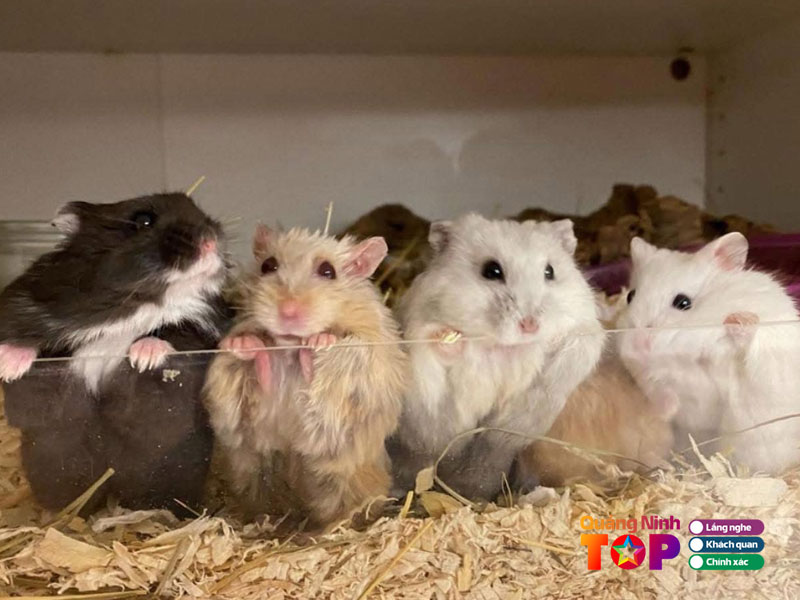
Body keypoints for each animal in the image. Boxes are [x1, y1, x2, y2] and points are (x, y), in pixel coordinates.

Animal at [0, 193, 229, 514]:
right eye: (143, 220)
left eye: (198, 210)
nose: (211, 241)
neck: (134, 302)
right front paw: (8, 365)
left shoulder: (204, 332)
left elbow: (175, 332)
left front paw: (143, 358)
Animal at [204, 225, 408, 526]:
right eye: (268, 266)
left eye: (328, 271)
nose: (287, 312)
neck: (289, 348)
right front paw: (243, 344)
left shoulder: (365, 360)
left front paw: (321, 341)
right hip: (255, 469)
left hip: (347, 478)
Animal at [388, 213, 605, 500]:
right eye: (491, 271)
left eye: (550, 272)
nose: (530, 325)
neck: (505, 348)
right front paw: (451, 337)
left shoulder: (585, 330)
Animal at [617, 233, 800, 474]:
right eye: (630, 296)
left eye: (683, 302)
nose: (636, 345)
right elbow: (662, 390)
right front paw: (666, 409)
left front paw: (738, 320)